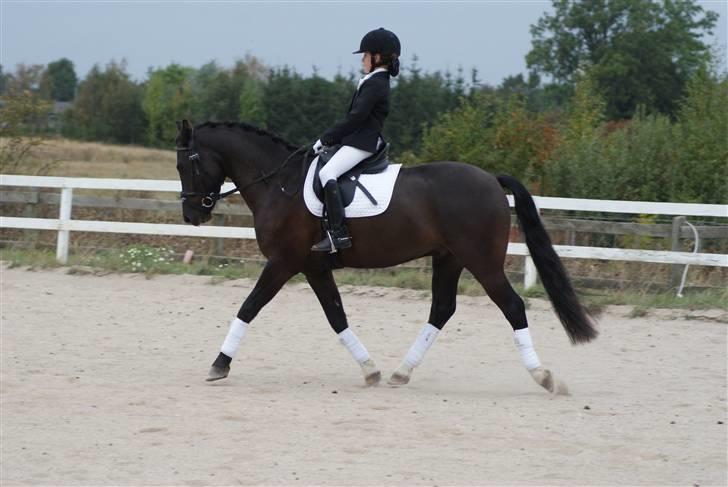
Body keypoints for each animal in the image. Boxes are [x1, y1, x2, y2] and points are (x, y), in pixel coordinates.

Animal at [173, 120, 596, 394]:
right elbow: (336, 317)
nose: (192, 215)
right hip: (449, 259)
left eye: (186, 164)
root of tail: (492, 179)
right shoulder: (313, 267)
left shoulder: (283, 263)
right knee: (442, 309)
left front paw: (219, 364)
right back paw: (400, 373)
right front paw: (370, 370)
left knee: (512, 306)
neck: (280, 184)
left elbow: (249, 307)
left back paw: (543, 377)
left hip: (482, 262)